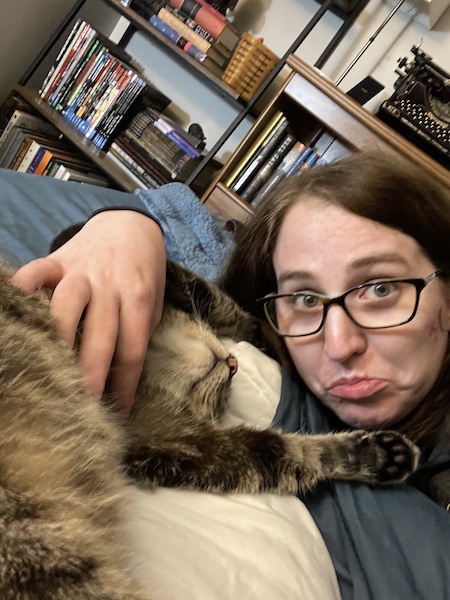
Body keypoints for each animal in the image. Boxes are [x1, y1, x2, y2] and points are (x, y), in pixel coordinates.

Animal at [0, 258, 418, 600]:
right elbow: (285, 450)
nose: (234, 364)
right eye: (223, 397)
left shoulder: (174, 441)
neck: (151, 372)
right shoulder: (193, 444)